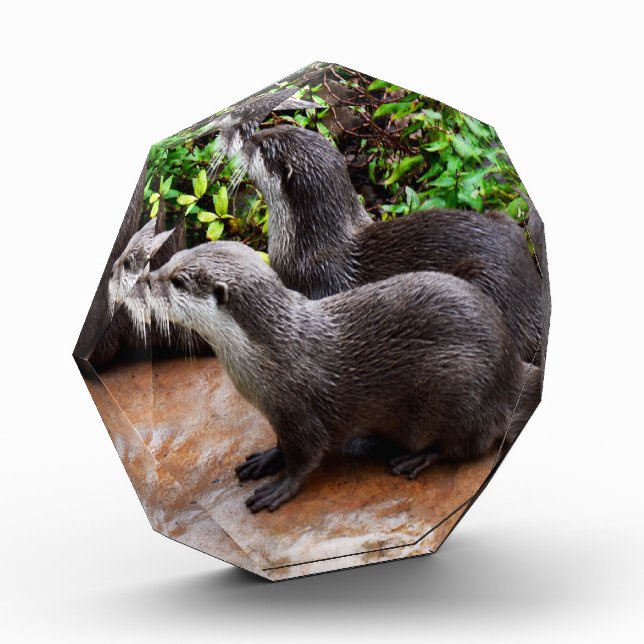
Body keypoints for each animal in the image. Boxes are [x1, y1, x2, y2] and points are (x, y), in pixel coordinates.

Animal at [149, 241, 541, 513]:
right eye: (171, 258)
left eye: (177, 281)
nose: (146, 278)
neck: (273, 354)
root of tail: (512, 372)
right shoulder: (279, 415)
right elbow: (281, 445)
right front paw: (266, 459)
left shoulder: (299, 412)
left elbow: (305, 457)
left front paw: (280, 487)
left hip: (459, 390)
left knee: (467, 446)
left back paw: (415, 459)